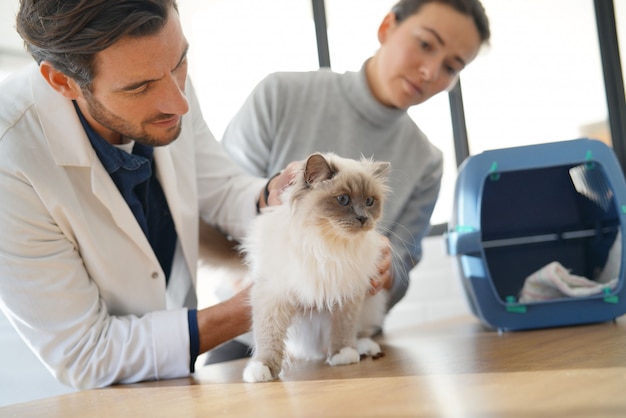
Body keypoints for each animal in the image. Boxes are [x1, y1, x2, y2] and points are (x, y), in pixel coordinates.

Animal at [241, 152, 388, 384]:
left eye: (369, 201)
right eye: (343, 200)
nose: (363, 218)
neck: (326, 243)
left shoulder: (347, 291)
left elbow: (343, 328)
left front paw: (343, 354)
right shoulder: (273, 295)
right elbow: (268, 336)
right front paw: (261, 369)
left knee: (359, 332)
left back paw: (363, 348)